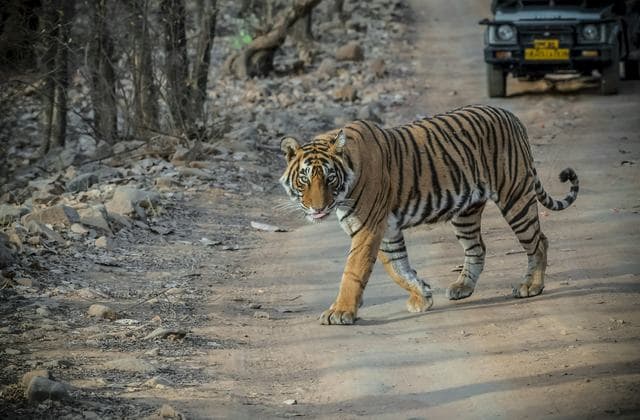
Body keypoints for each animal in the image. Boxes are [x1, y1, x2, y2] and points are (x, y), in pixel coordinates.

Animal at [279, 104, 579, 325]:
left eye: (330, 178)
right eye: (305, 179)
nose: (317, 208)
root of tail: (512, 116)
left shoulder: (368, 228)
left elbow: (353, 271)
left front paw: (340, 312)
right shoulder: (386, 230)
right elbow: (398, 268)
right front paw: (422, 295)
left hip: (515, 196)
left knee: (539, 241)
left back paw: (531, 286)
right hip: (466, 213)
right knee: (478, 247)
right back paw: (462, 287)